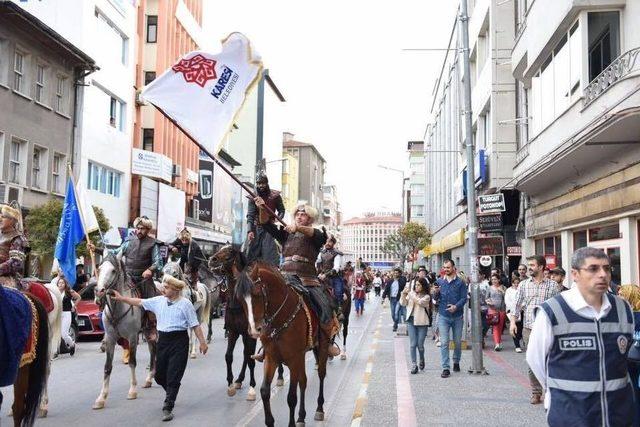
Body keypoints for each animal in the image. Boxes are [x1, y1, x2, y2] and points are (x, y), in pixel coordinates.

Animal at [211, 244, 330, 427]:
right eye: (240, 298)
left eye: (257, 294)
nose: (212, 259)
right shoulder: (269, 355)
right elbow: (264, 390)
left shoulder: (293, 358)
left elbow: (291, 397)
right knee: (303, 381)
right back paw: (301, 417)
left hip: (321, 346)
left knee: (321, 375)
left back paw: (319, 409)